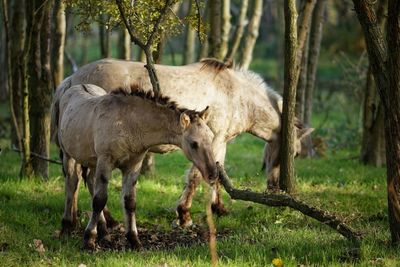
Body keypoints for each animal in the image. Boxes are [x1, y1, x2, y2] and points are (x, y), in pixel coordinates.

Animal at [50, 58, 312, 230]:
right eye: (295, 154)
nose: (275, 187)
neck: (236, 95)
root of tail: (71, 80)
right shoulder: (215, 141)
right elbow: (199, 177)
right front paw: (184, 215)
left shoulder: (217, 143)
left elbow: (216, 174)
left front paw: (217, 208)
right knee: (84, 179)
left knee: (77, 178)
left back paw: (78, 219)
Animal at [56, 83, 216, 249]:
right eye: (193, 143)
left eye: (212, 137)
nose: (213, 174)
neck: (128, 123)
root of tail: (75, 86)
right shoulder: (105, 161)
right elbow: (99, 200)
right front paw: (88, 239)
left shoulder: (133, 165)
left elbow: (130, 202)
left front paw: (133, 239)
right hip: (69, 155)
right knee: (72, 184)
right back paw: (67, 227)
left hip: (93, 161)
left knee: (90, 181)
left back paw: (104, 233)